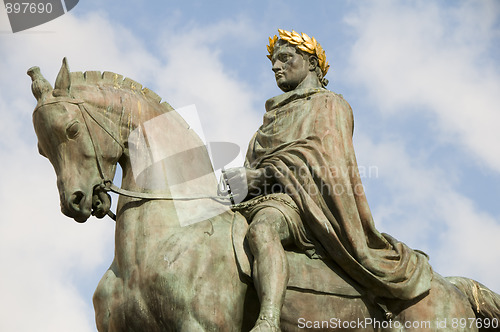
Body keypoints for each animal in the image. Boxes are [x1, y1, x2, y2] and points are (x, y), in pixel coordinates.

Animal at [30, 58, 500, 330]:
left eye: (71, 130)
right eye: (41, 147)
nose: (76, 201)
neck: (157, 245)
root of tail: (451, 287)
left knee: (265, 233)